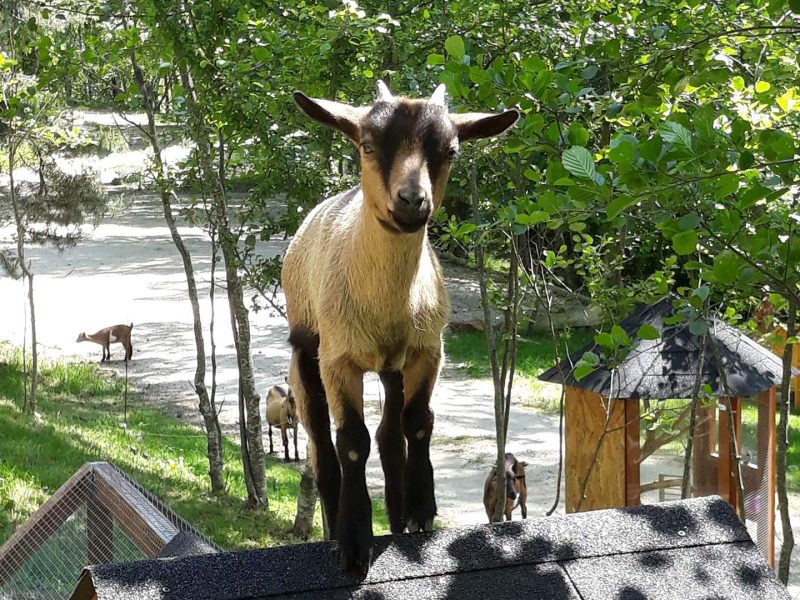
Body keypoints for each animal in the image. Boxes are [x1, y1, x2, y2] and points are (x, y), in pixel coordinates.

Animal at [284, 80, 517, 573]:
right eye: (368, 145)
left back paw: (397, 514)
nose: (412, 201)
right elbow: (352, 440)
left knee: (391, 437)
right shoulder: (338, 359)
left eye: (450, 150)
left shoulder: (428, 352)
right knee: (321, 448)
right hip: (304, 354)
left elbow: (419, 423)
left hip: (391, 368)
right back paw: (334, 523)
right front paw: (354, 541)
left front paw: (422, 510)